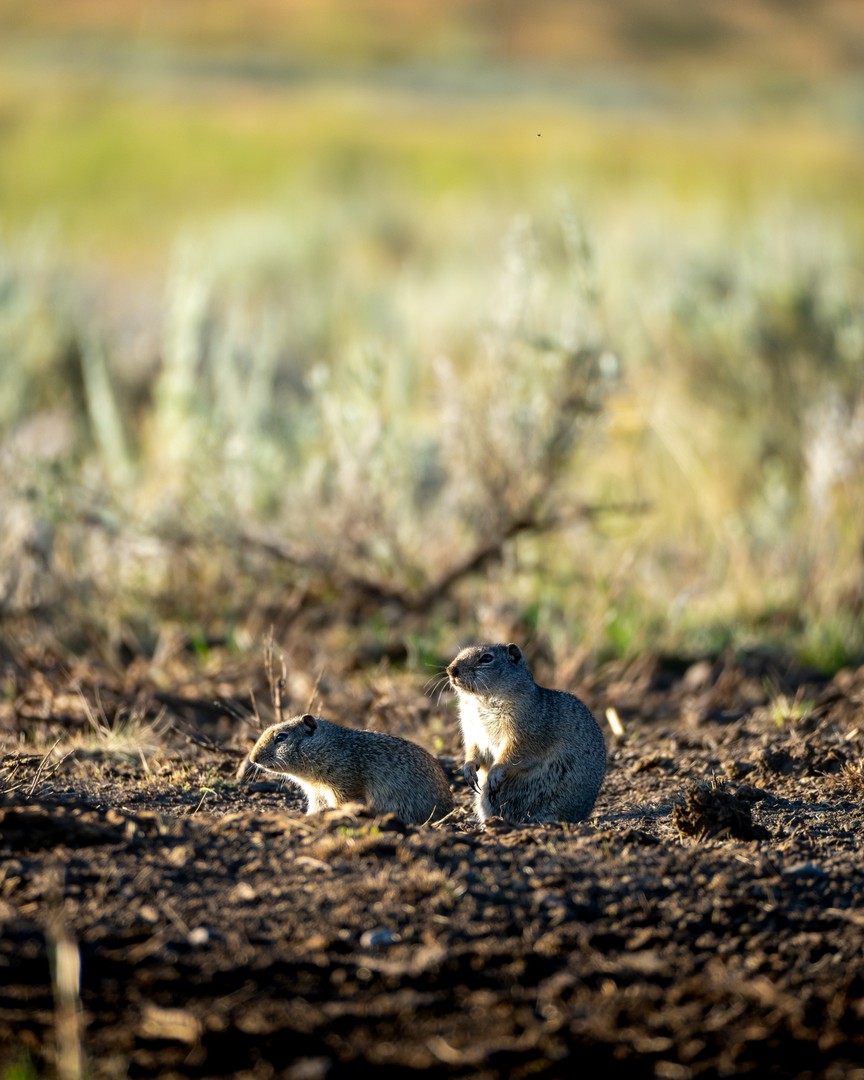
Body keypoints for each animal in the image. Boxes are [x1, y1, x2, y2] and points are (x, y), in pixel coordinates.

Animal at [247, 713, 455, 825]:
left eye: (281, 737)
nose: (252, 758)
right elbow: (316, 808)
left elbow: (343, 804)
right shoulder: (317, 794)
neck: (331, 747)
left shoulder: (344, 786)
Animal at [446, 642, 606, 824]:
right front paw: (469, 769)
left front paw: (495, 773)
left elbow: (512, 753)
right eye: (460, 653)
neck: (481, 701)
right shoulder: (472, 731)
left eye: (486, 658)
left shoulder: (522, 732)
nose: (451, 670)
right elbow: (472, 750)